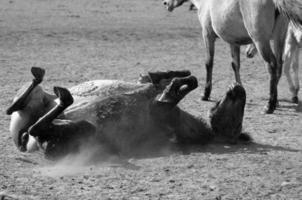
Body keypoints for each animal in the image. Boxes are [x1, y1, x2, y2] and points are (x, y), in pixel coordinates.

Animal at [163, 0, 302, 113]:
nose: (165, 3)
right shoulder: (233, 43)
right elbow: (235, 65)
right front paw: (239, 90)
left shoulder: (207, 36)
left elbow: (209, 63)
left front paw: (205, 94)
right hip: (279, 38)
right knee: (279, 66)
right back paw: (276, 101)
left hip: (260, 40)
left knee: (272, 65)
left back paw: (270, 105)